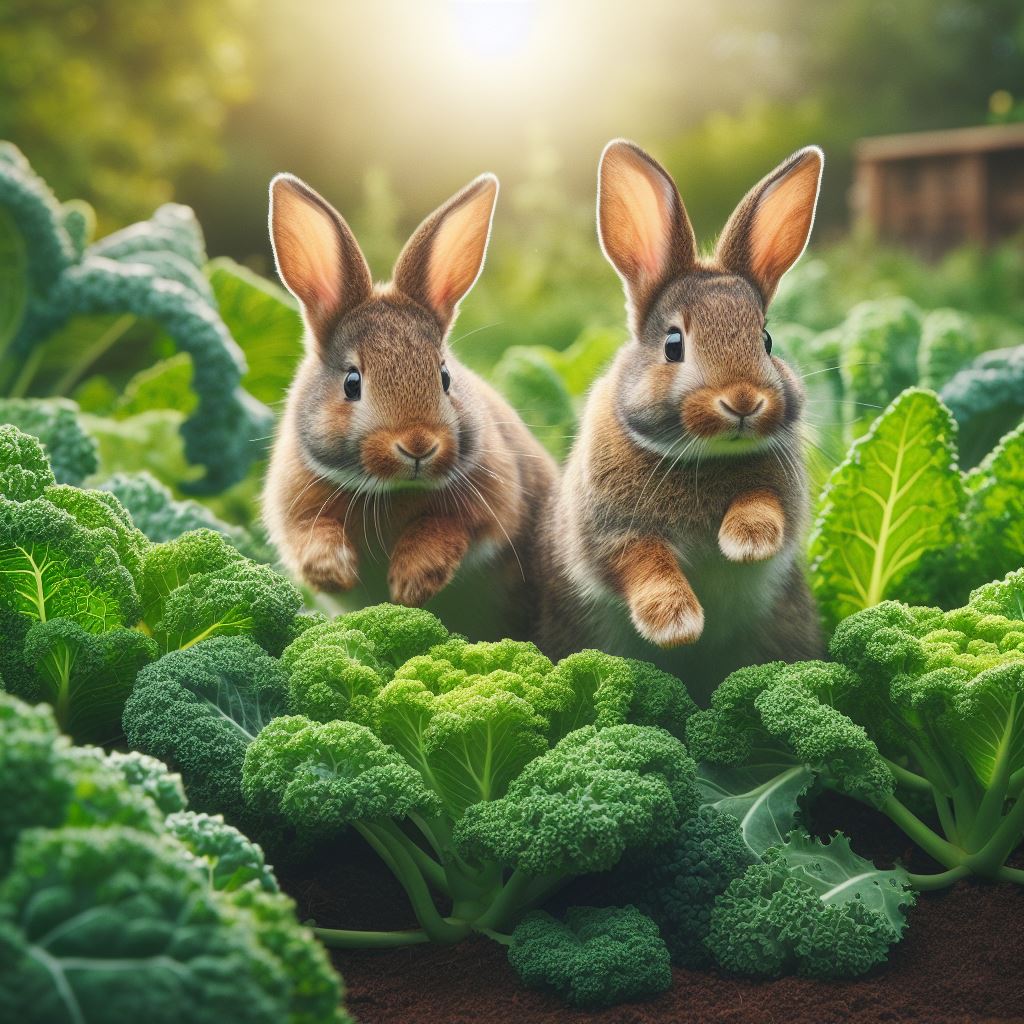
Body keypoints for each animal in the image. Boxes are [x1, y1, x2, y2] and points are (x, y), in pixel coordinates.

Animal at [260, 174, 557, 638]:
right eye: (352, 383)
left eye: (445, 376)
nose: (418, 445)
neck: (391, 490)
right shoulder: (295, 507)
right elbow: (310, 533)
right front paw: (334, 572)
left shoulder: (492, 506)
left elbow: (445, 527)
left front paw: (410, 584)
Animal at [540, 140, 827, 700]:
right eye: (674, 344)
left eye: (766, 341)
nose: (743, 401)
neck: (702, 456)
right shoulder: (612, 534)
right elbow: (644, 563)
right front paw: (676, 623)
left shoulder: (779, 490)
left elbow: (763, 502)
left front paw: (746, 541)